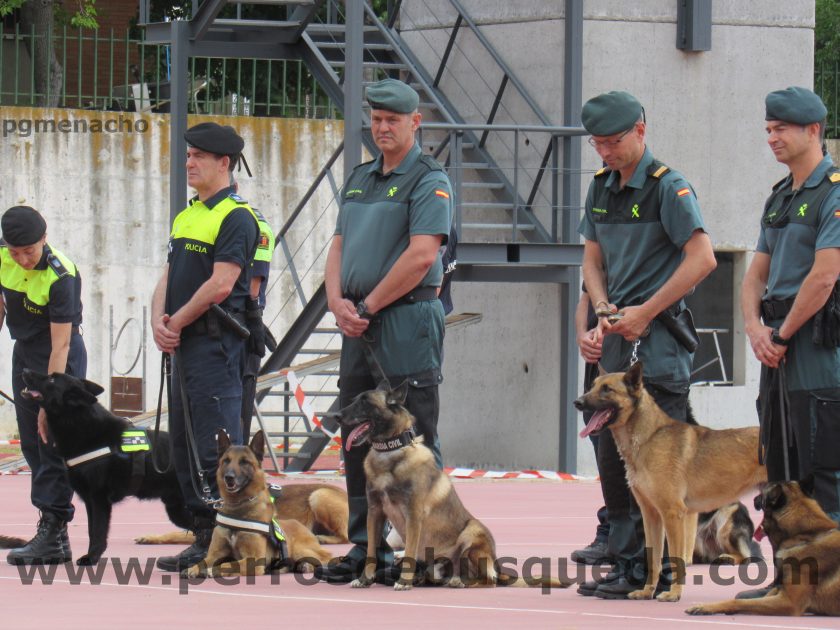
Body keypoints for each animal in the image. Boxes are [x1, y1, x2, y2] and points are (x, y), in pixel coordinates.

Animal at [20, 370, 192, 568]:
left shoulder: (99, 499)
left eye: (52, 379)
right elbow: (91, 530)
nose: (25, 371)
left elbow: (98, 531)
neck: (81, 423)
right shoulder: (89, 501)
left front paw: (91, 557)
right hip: (176, 510)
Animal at [183, 432, 332, 580]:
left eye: (244, 462)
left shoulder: (253, 560)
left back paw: (309, 566)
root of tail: (300, 525)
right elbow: (202, 561)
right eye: (226, 460)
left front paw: (210, 570)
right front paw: (192, 569)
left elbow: (229, 564)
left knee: (326, 557)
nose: (228, 477)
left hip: (300, 550)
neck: (237, 507)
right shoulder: (214, 554)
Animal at [334, 380, 572, 592]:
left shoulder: (413, 516)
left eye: (365, 402)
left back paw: (459, 581)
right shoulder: (375, 513)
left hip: (471, 533)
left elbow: (409, 552)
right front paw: (364, 579)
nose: (335, 416)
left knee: (488, 581)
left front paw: (403, 582)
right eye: (355, 399)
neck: (391, 452)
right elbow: (371, 551)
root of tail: (497, 566)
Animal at [576, 360, 764, 604]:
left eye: (607, 389)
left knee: (747, 555)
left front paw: (674, 593)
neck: (648, 438)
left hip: (727, 522)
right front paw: (647, 591)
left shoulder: (673, 514)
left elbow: (676, 560)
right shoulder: (651, 516)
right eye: (593, 386)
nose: (577, 402)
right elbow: (653, 559)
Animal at [684, 478, 840, 616]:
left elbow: (740, 602)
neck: (805, 536)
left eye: (763, 493)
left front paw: (705, 607)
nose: (755, 497)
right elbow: (762, 596)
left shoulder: (789, 603)